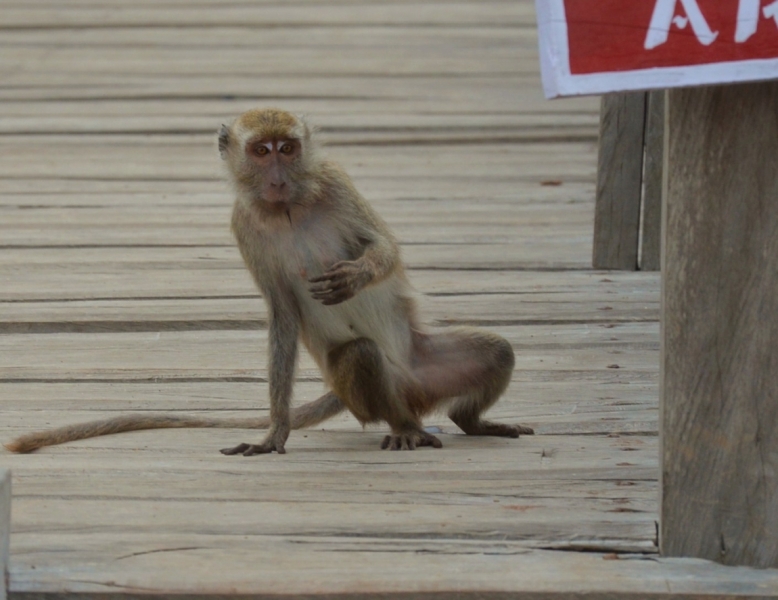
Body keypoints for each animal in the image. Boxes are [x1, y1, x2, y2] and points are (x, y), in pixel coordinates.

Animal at [3, 109, 532, 454]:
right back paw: (407, 425)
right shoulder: (242, 225)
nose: (277, 178)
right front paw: (276, 431)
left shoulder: (335, 180)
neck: (287, 209)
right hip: (376, 391)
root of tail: (413, 391)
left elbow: (387, 249)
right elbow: (282, 313)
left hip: (426, 367)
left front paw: (359, 274)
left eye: (287, 149)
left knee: (496, 351)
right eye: (260, 151)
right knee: (361, 357)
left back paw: (469, 421)